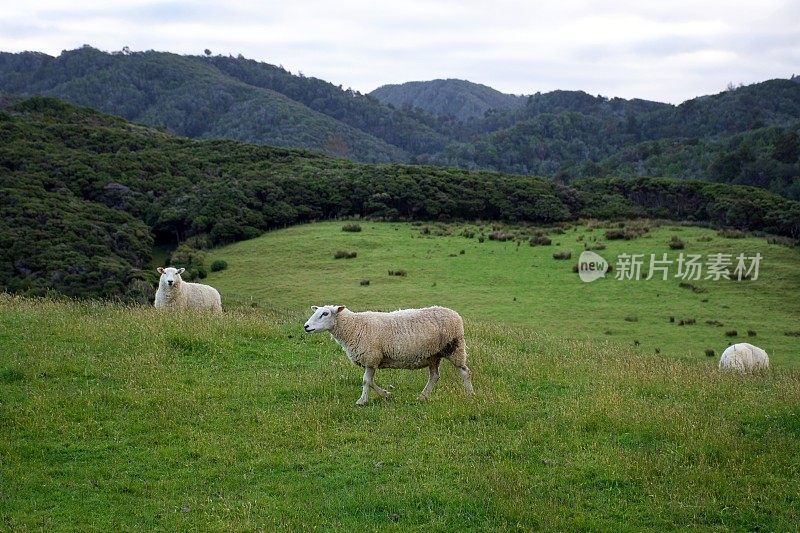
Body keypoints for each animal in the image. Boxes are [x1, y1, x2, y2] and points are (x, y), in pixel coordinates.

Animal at [304, 306, 472, 406]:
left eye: (325, 313)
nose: (306, 326)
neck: (353, 326)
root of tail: (455, 314)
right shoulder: (372, 360)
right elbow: (370, 381)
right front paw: (386, 395)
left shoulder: (371, 357)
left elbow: (366, 381)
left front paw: (362, 400)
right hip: (433, 355)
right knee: (434, 376)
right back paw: (422, 396)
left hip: (454, 348)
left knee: (464, 372)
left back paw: (471, 394)